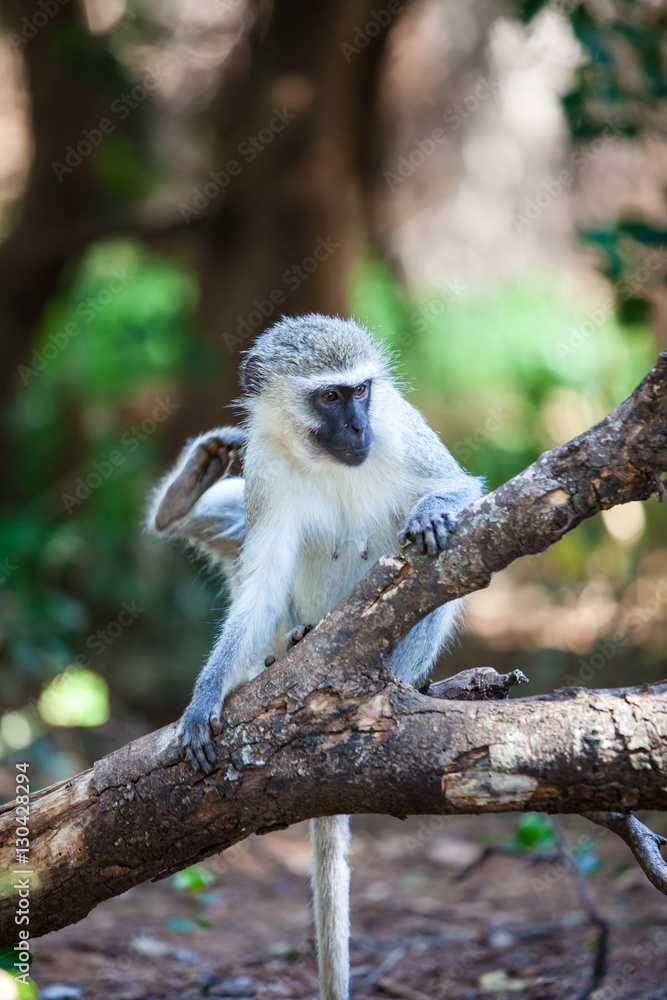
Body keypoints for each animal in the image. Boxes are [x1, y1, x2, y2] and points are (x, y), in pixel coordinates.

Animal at [147, 314, 483, 1000]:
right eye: (329, 397)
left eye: (361, 391)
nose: (357, 429)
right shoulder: (265, 466)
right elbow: (259, 587)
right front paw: (203, 699)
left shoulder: (399, 425)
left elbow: (460, 487)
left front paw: (434, 510)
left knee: (435, 573)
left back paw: (384, 679)